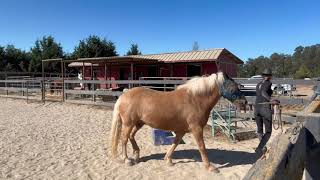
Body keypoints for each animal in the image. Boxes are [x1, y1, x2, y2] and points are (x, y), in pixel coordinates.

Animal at [111, 71, 246, 173]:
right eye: (233, 86)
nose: (244, 103)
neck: (195, 100)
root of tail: (124, 95)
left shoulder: (182, 131)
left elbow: (175, 143)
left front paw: (168, 160)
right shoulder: (196, 129)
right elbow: (202, 147)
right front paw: (210, 167)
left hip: (139, 123)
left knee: (131, 136)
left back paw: (137, 155)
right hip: (128, 123)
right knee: (124, 139)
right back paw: (127, 160)